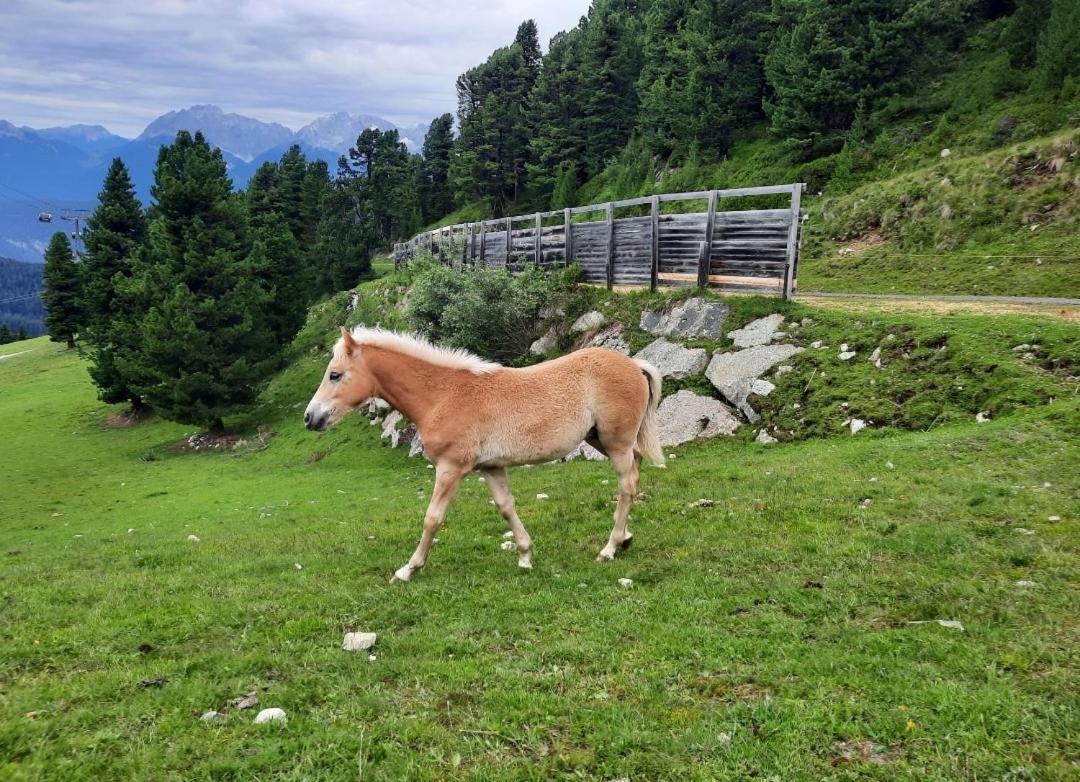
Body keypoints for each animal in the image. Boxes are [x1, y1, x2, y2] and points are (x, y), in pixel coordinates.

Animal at [300, 328, 660, 578]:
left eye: (335, 374)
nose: (310, 418)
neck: (443, 395)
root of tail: (633, 363)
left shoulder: (451, 468)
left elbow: (433, 518)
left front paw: (409, 569)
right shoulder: (491, 467)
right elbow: (505, 507)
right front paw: (525, 556)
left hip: (615, 442)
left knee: (626, 485)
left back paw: (610, 548)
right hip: (603, 440)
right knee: (636, 467)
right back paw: (625, 538)